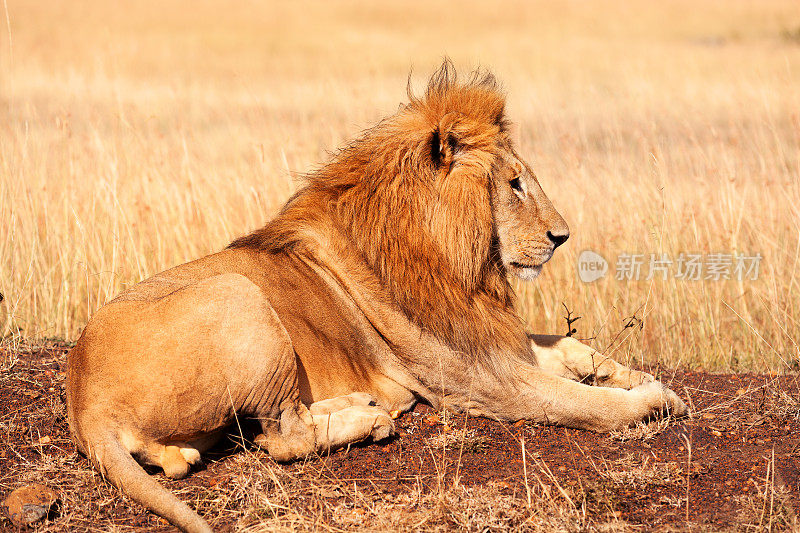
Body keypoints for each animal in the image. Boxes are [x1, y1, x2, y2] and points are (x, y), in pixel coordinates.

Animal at [65, 63, 688, 532]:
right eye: (513, 183)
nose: (563, 237)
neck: (461, 262)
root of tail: (85, 403)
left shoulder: (492, 343)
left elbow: (575, 348)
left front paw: (639, 378)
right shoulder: (481, 382)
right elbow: (586, 405)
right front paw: (651, 399)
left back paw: (358, 405)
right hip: (236, 292)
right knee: (279, 440)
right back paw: (370, 422)